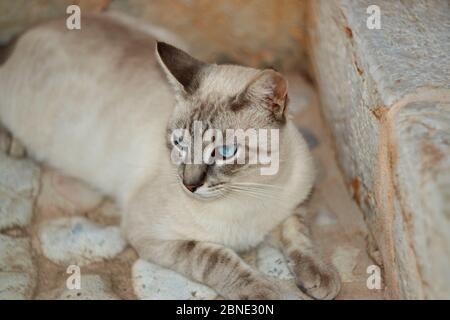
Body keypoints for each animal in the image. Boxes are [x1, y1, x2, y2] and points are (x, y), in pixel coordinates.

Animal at [0, 13, 340, 300]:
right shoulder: (152, 235)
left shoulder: (294, 204)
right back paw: (14, 144)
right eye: (179, 143)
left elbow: (299, 235)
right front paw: (263, 291)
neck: (253, 189)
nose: (189, 185)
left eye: (225, 152)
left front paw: (320, 277)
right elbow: (217, 258)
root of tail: (34, 29)